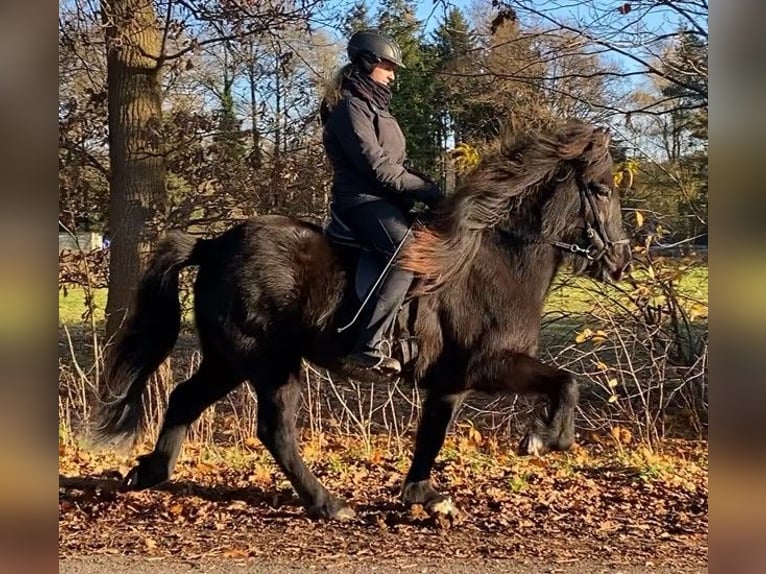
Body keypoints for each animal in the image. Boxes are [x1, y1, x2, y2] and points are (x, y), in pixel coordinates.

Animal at [96, 120, 632, 520]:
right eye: (601, 190)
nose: (621, 263)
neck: (495, 258)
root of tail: (213, 244)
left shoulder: (451, 380)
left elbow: (432, 433)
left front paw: (424, 496)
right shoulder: (489, 365)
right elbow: (566, 383)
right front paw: (543, 439)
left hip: (228, 359)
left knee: (184, 400)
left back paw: (150, 472)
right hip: (267, 362)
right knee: (274, 430)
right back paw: (327, 504)